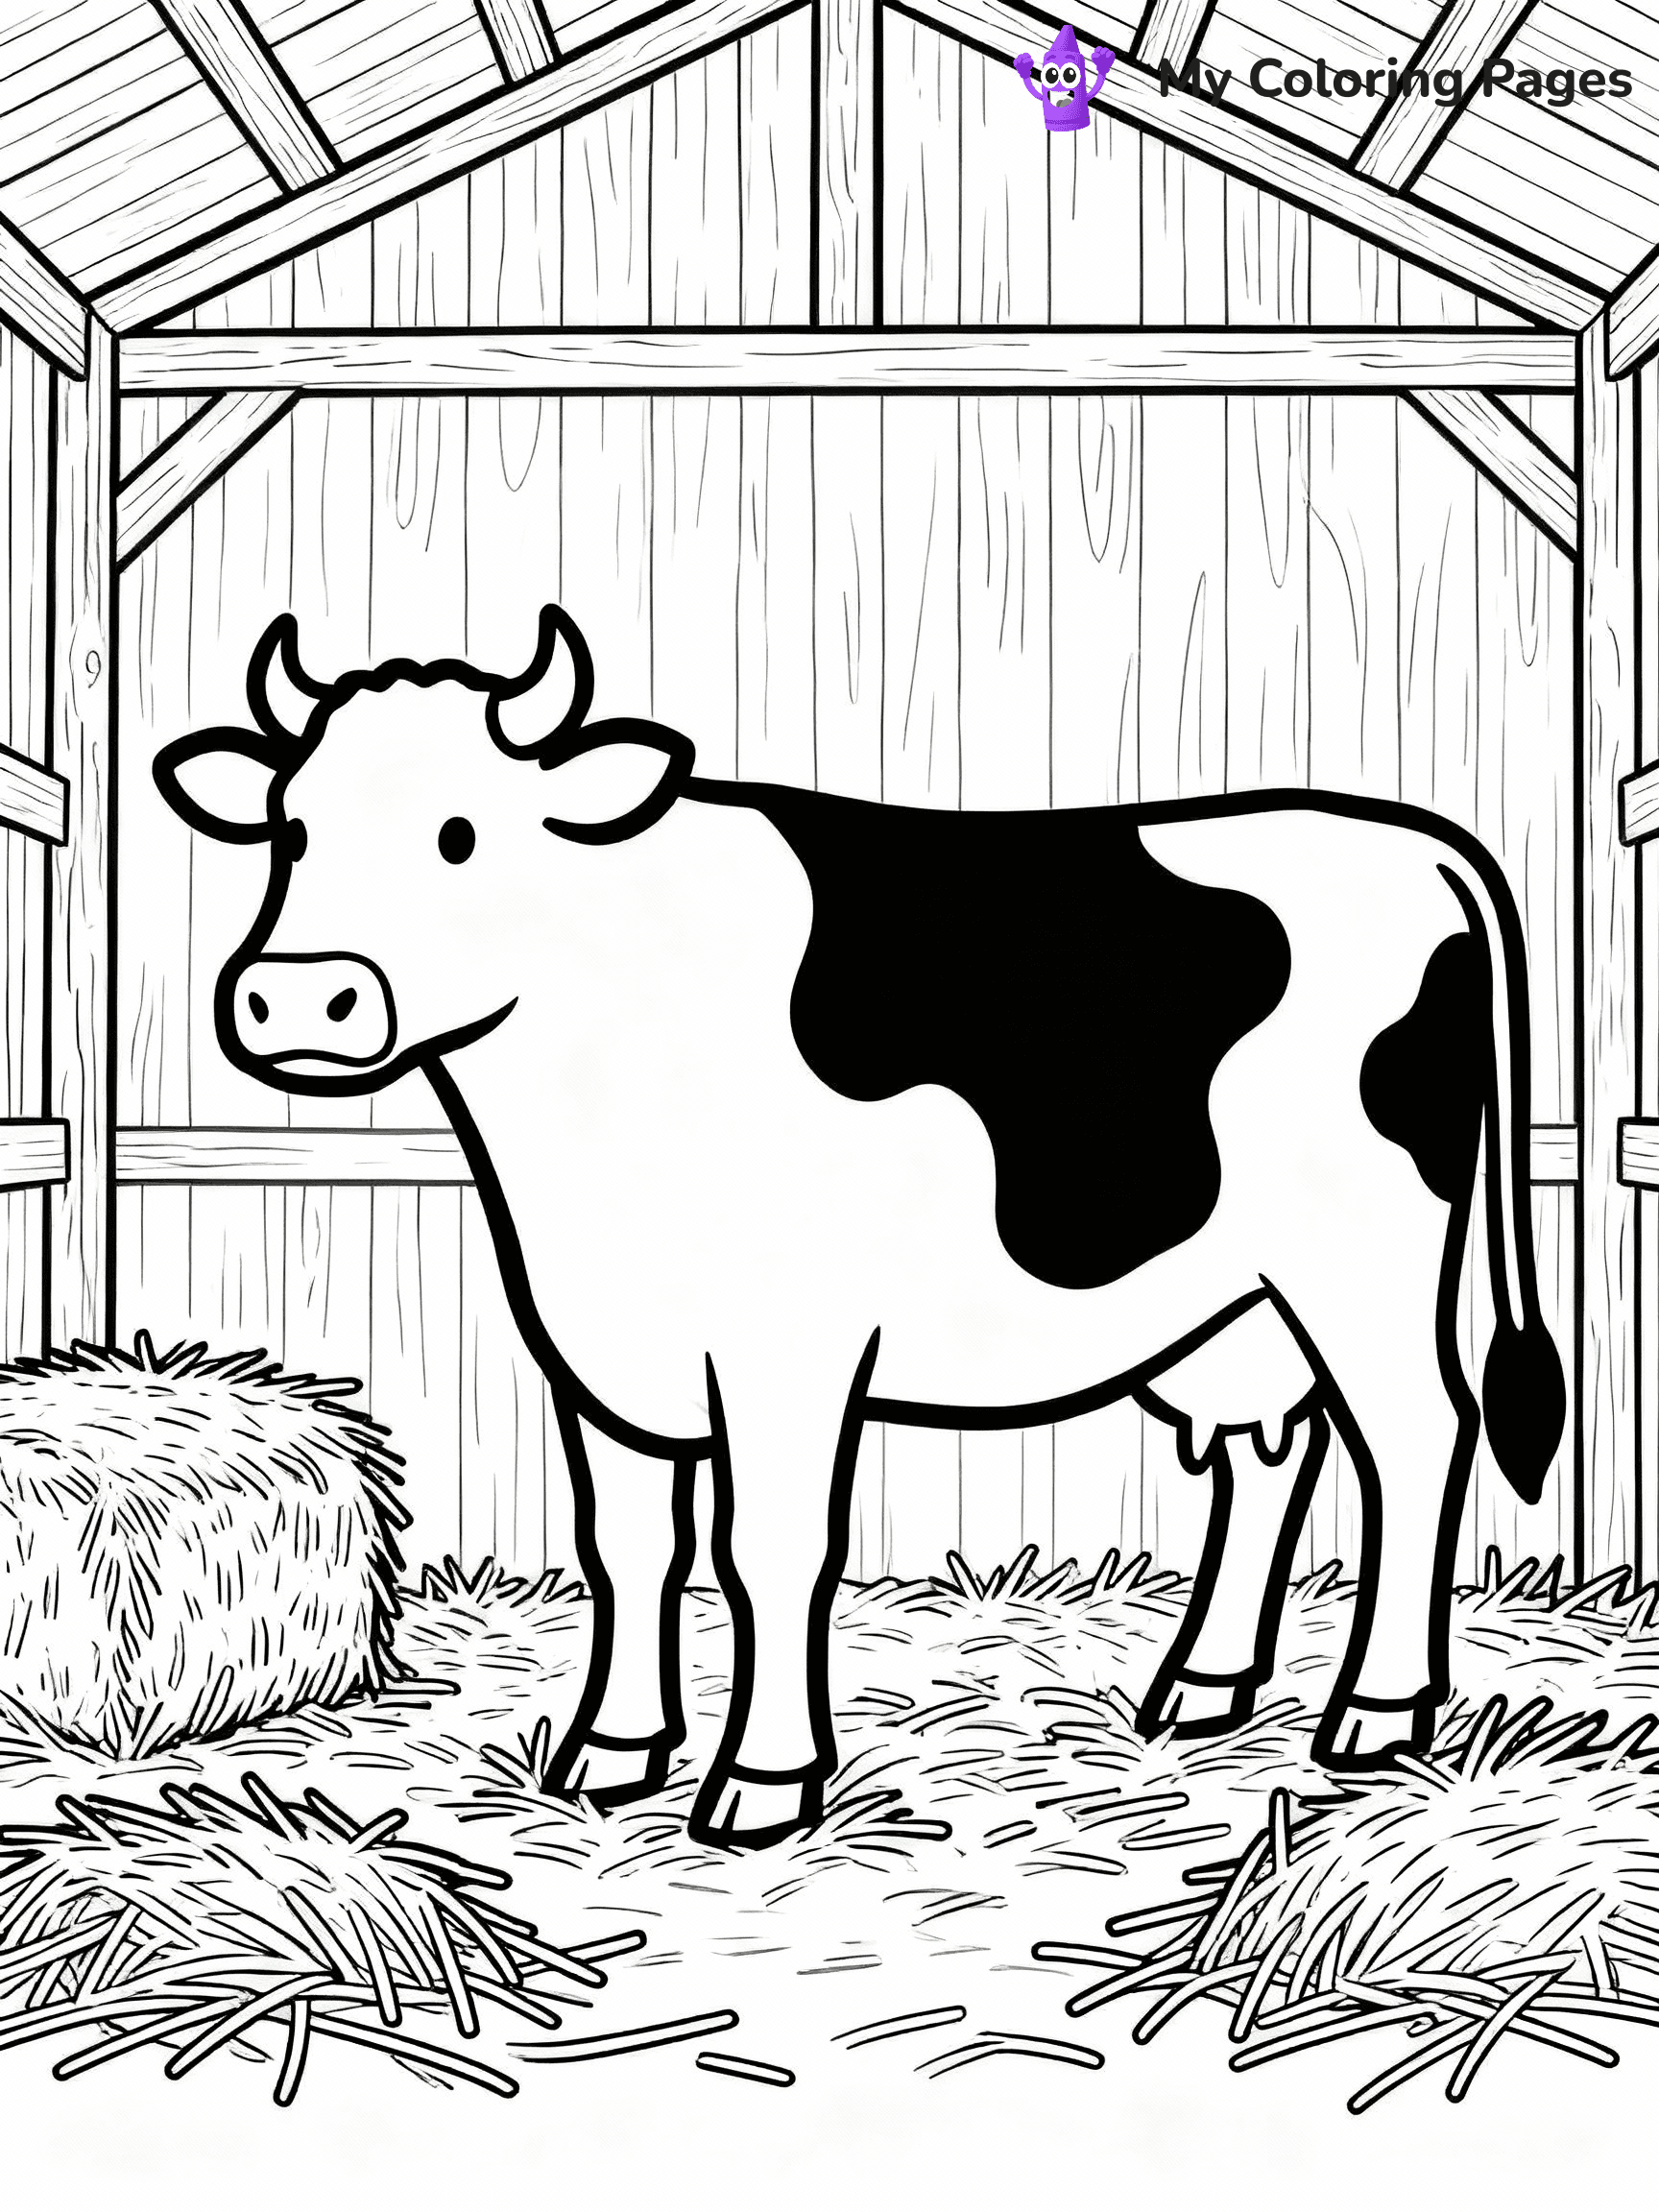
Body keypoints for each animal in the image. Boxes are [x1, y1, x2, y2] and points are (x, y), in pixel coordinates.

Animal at [154, 605, 1567, 1849]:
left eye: (461, 834)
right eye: (288, 829)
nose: (298, 1001)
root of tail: (1411, 841)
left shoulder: (790, 1344)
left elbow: (768, 1551)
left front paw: (762, 1783)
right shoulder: (600, 1354)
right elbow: (627, 1549)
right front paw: (612, 1751)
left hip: (1366, 1261)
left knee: (1415, 1435)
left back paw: (1378, 1712)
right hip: (1232, 1297)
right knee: (1266, 1449)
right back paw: (1203, 1688)